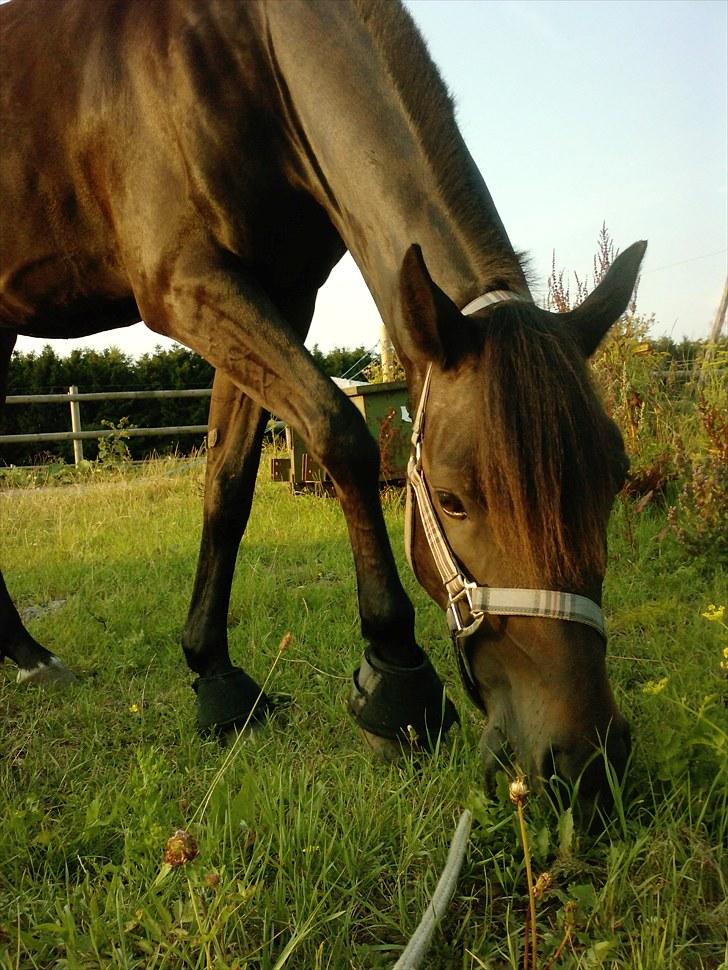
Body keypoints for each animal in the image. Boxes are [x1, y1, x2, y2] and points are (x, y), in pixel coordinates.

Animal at [0, 0, 640, 800]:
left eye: (614, 478)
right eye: (453, 500)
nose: (583, 761)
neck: (242, 53)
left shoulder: (277, 294)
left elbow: (228, 487)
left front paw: (216, 678)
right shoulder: (184, 283)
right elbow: (338, 430)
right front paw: (398, 680)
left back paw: (27, 652)